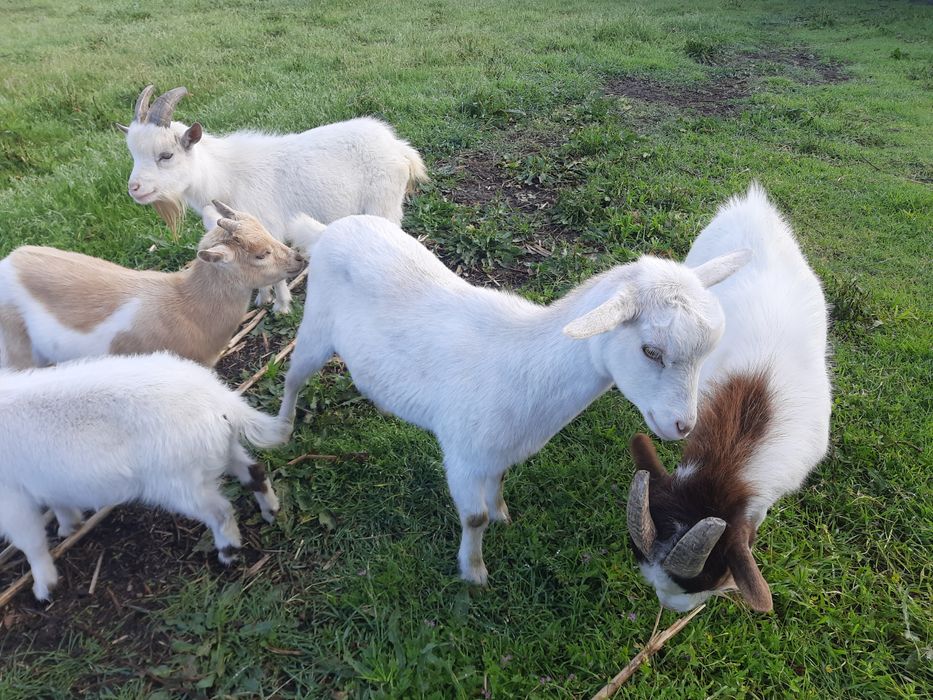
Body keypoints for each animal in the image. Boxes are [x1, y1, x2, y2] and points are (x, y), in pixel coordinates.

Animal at [0, 352, 288, 600]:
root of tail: (221, 400)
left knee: (220, 511)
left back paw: (228, 554)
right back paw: (271, 511)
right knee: (253, 472)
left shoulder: (11, 501)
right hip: (224, 449)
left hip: (179, 482)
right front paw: (69, 527)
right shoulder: (44, 482)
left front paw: (43, 588)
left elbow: (31, 542)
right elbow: (59, 503)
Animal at [119, 85, 429, 313]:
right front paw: (262, 298)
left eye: (166, 155)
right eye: (132, 153)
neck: (223, 174)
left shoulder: (269, 227)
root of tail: (400, 148)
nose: (134, 188)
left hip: (384, 202)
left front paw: (281, 306)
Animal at [278, 213, 748, 584]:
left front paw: (503, 514)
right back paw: (281, 430)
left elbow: (500, 483)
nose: (682, 425)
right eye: (650, 350)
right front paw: (474, 572)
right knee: (292, 376)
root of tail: (327, 230)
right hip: (315, 327)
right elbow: (474, 518)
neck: (525, 366)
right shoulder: (463, 456)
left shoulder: (499, 450)